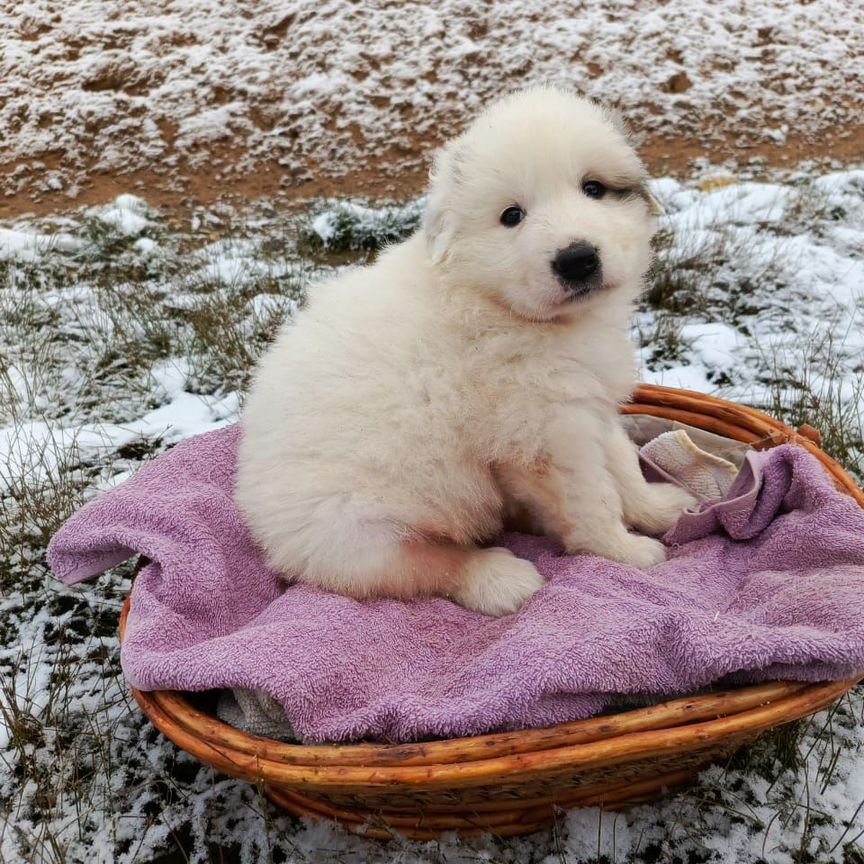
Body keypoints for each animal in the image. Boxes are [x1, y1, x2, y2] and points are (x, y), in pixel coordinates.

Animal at [236, 86, 696, 616]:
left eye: (594, 189)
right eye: (512, 216)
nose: (577, 259)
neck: (502, 305)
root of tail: (260, 521)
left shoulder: (589, 406)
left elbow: (622, 463)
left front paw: (656, 508)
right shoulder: (546, 434)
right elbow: (593, 498)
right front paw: (624, 552)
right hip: (358, 531)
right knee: (425, 565)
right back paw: (500, 578)